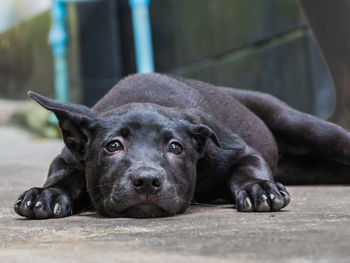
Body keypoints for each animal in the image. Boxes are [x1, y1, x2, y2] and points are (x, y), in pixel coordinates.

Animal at [13, 73, 350, 220]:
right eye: (113, 146)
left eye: (176, 147)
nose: (147, 181)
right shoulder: (68, 158)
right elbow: (63, 176)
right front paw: (45, 194)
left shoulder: (243, 152)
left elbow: (248, 169)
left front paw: (259, 189)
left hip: (303, 126)